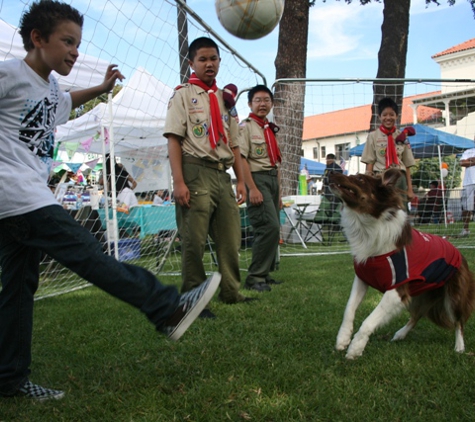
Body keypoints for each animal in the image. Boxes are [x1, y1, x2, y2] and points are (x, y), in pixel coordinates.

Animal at [330, 168, 475, 360]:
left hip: (454, 295)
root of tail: (459, 252)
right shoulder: (362, 279)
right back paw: (400, 334)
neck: (368, 225)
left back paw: (459, 346)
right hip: (418, 294)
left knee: (459, 321)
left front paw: (355, 348)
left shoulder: (397, 289)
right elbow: (348, 309)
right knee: (417, 315)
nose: (331, 172)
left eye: (360, 179)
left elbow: (369, 321)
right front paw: (343, 339)